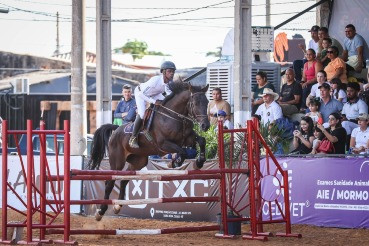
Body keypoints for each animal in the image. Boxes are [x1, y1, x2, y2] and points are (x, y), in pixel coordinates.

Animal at [87, 82, 210, 221]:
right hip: (117, 162)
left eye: (207, 102)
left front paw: (199, 162)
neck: (174, 117)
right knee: (110, 183)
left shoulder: (187, 139)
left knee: (124, 181)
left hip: (138, 161)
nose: (206, 125)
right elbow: (183, 151)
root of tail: (116, 130)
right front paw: (175, 162)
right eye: (195, 103)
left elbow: (201, 141)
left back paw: (118, 206)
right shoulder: (164, 144)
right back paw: (100, 212)